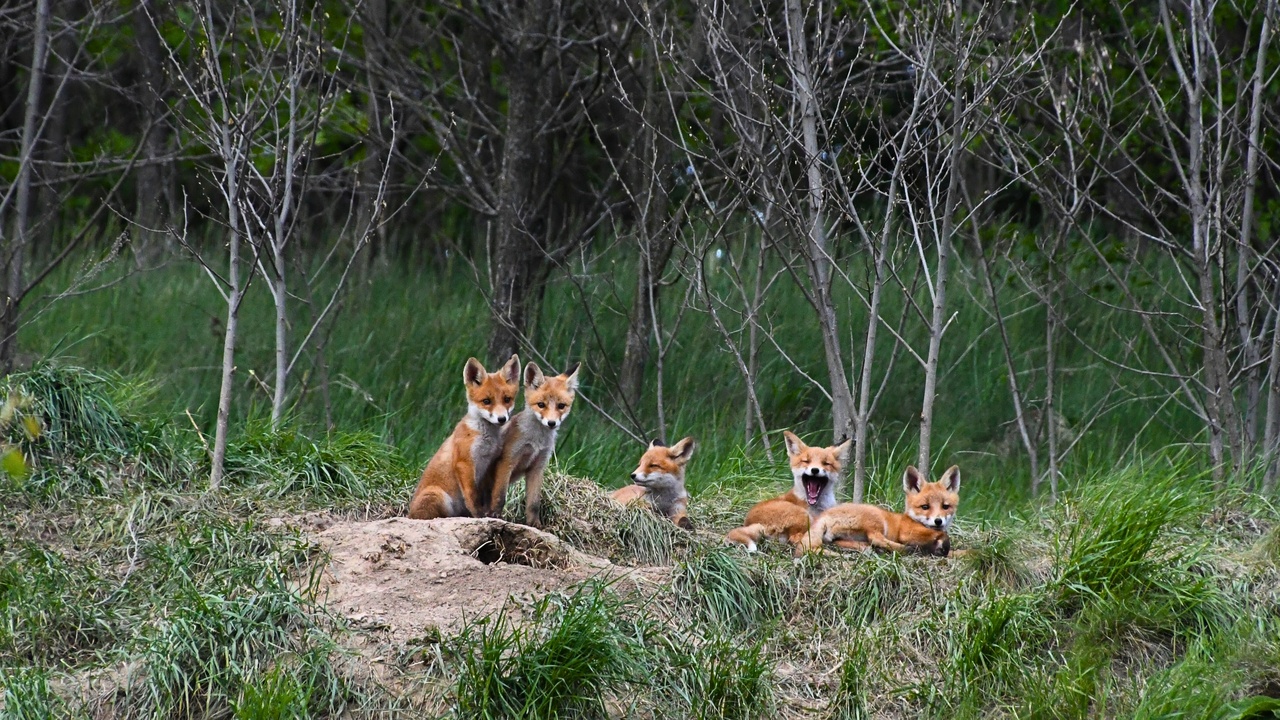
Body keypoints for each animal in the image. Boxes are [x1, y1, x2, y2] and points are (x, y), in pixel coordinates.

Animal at [407, 355, 520, 520]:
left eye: (507, 399)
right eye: (487, 401)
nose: (502, 419)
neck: (487, 438)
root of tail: (409, 514)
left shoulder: (488, 464)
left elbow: (485, 495)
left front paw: (490, 513)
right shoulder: (464, 463)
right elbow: (472, 496)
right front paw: (480, 516)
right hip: (438, 496)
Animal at [484, 361, 580, 527]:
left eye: (561, 406)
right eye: (541, 404)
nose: (551, 423)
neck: (536, 441)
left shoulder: (538, 466)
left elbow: (534, 503)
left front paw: (534, 523)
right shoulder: (507, 461)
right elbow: (500, 495)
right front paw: (495, 516)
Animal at [801, 465, 960, 556]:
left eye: (945, 506)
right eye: (925, 507)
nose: (938, 521)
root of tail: (824, 515)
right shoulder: (907, 533)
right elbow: (943, 537)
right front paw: (941, 546)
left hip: (840, 537)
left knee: (838, 542)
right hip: (877, 519)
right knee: (875, 538)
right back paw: (906, 549)